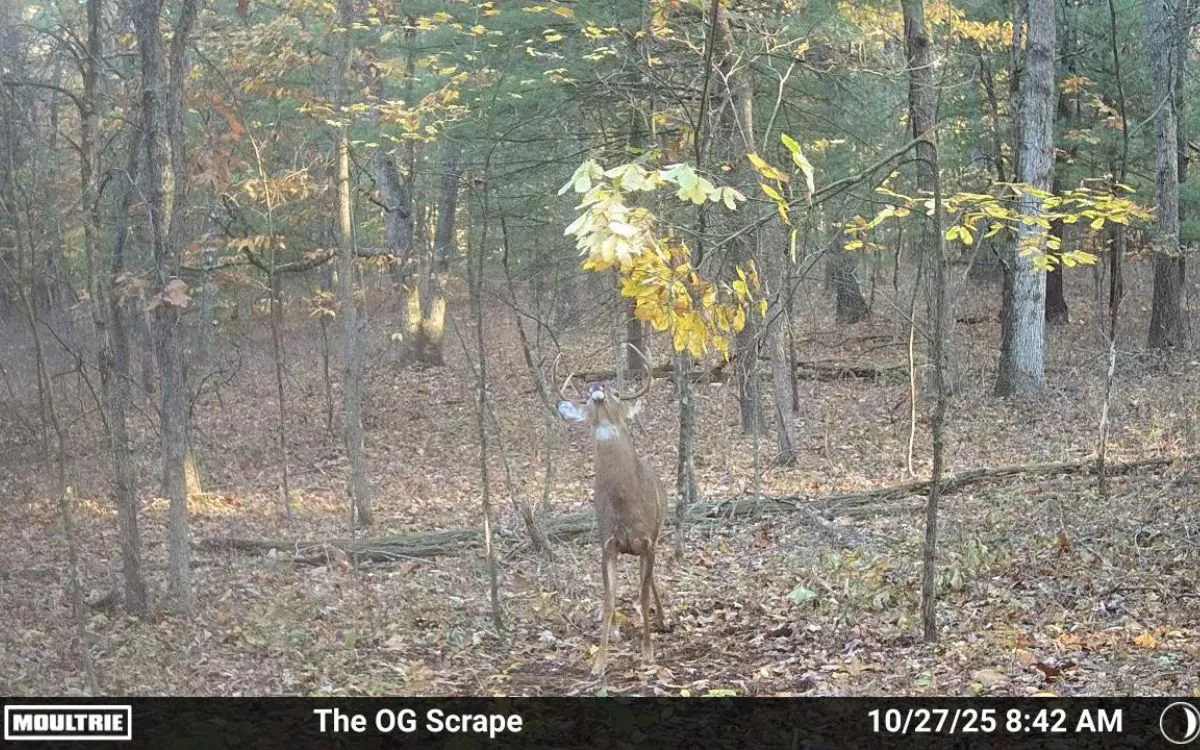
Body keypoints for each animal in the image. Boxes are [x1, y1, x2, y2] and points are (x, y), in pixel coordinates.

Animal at [555, 349, 668, 675]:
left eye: (617, 393)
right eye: (585, 396)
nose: (597, 388)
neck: (625, 503)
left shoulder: (648, 541)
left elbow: (643, 594)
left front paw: (648, 654)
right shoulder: (607, 544)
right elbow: (608, 598)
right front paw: (599, 662)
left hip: (658, 532)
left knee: (650, 582)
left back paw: (664, 620)